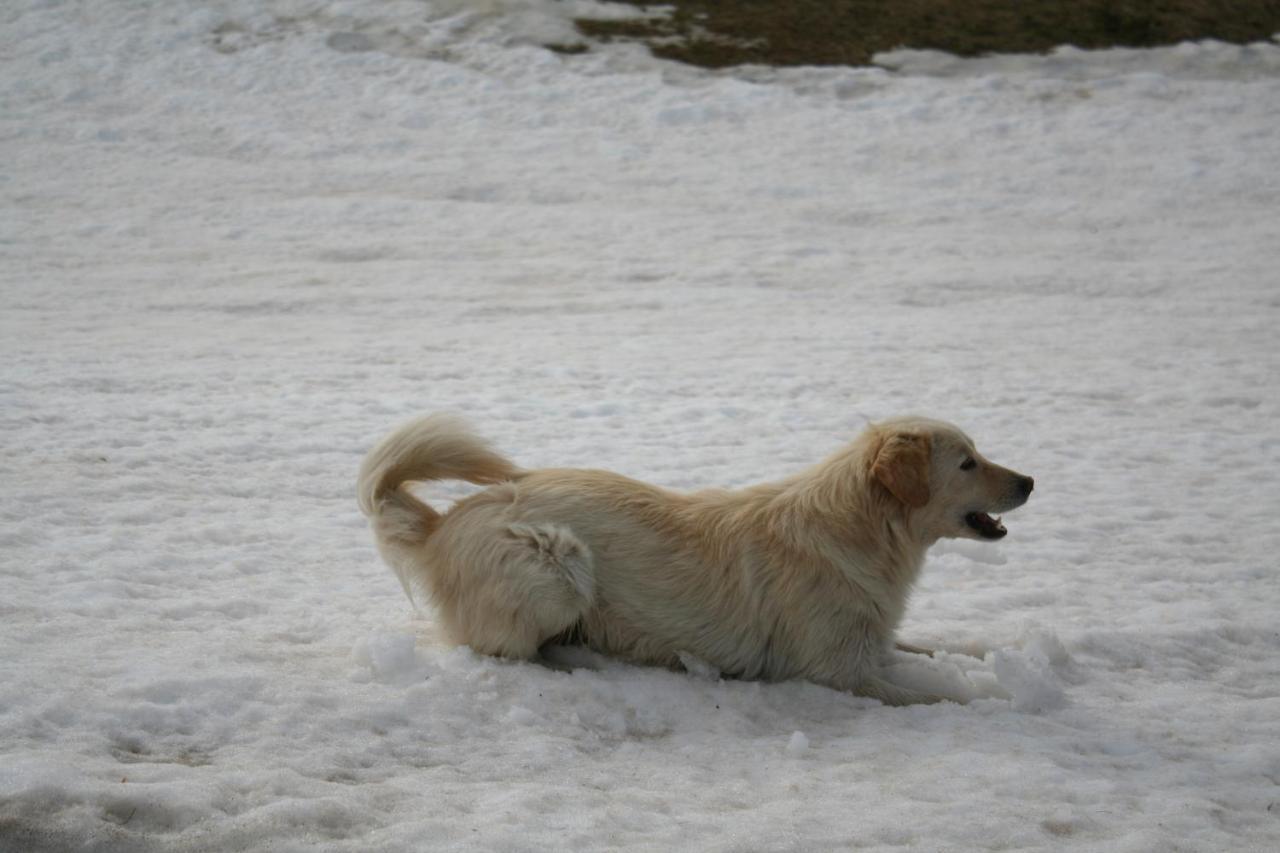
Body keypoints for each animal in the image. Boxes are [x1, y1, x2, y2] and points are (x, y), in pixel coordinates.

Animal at [358, 412, 1029, 701]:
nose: (1030, 481)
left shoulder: (870, 642)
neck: (864, 529)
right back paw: (582, 665)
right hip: (559, 566)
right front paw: (1004, 699)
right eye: (967, 463)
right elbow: (946, 696)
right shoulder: (839, 672)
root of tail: (446, 521)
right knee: (506, 651)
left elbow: (939, 650)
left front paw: (991, 656)